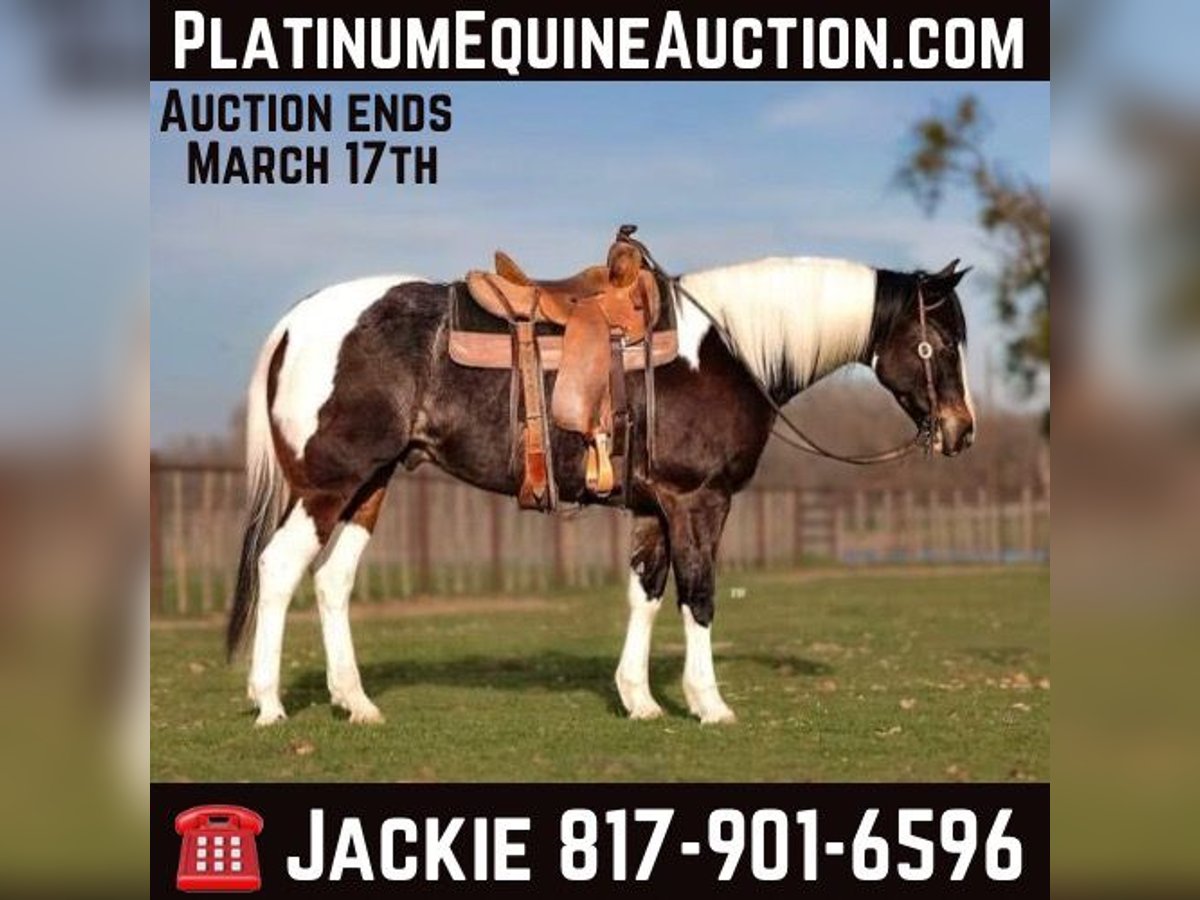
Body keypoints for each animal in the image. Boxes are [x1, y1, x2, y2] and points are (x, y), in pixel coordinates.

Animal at [226, 250, 974, 729]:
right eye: (940, 340)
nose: (961, 430)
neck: (728, 349)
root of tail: (296, 323)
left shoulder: (653, 507)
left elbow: (646, 594)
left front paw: (639, 700)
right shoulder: (697, 500)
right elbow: (698, 596)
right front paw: (709, 704)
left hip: (370, 487)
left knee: (332, 581)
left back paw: (356, 704)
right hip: (329, 484)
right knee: (280, 569)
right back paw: (269, 704)